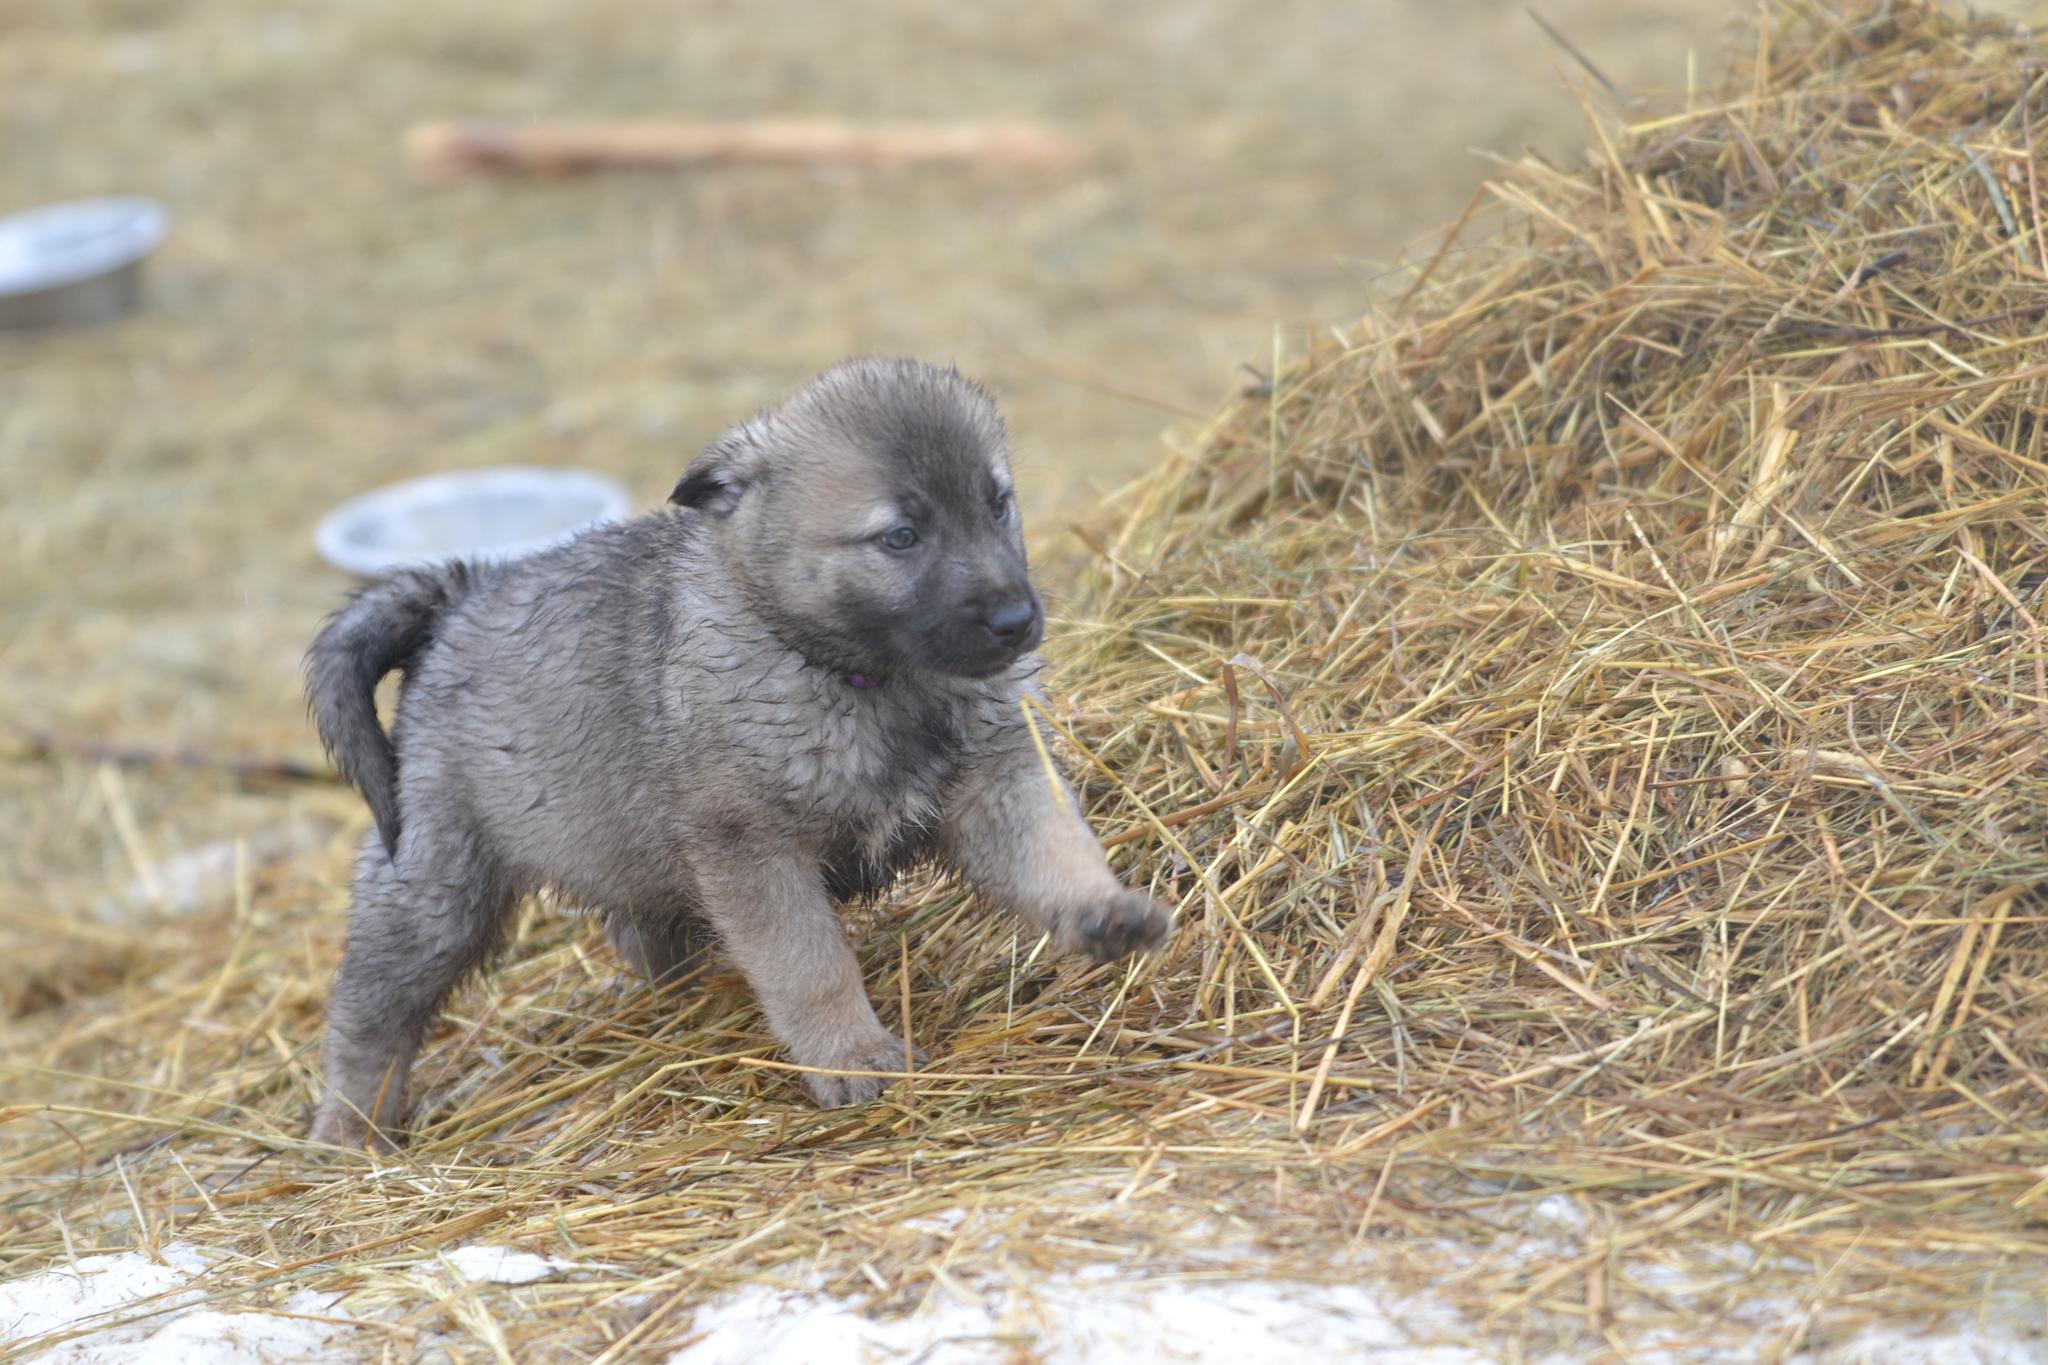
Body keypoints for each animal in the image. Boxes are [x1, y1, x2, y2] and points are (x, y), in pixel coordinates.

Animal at [301, 360, 1171, 1154]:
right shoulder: (752, 849)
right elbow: (809, 965)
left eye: (997, 503)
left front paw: (1105, 910)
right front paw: (854, 1058)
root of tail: (459, 597)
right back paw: (348, 1133)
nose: (1017, 619)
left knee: (641, 934)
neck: (869, 681)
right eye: (900, 536)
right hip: (435, 882)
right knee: (369, 1010)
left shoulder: (999, 779)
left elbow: (1055, 852)